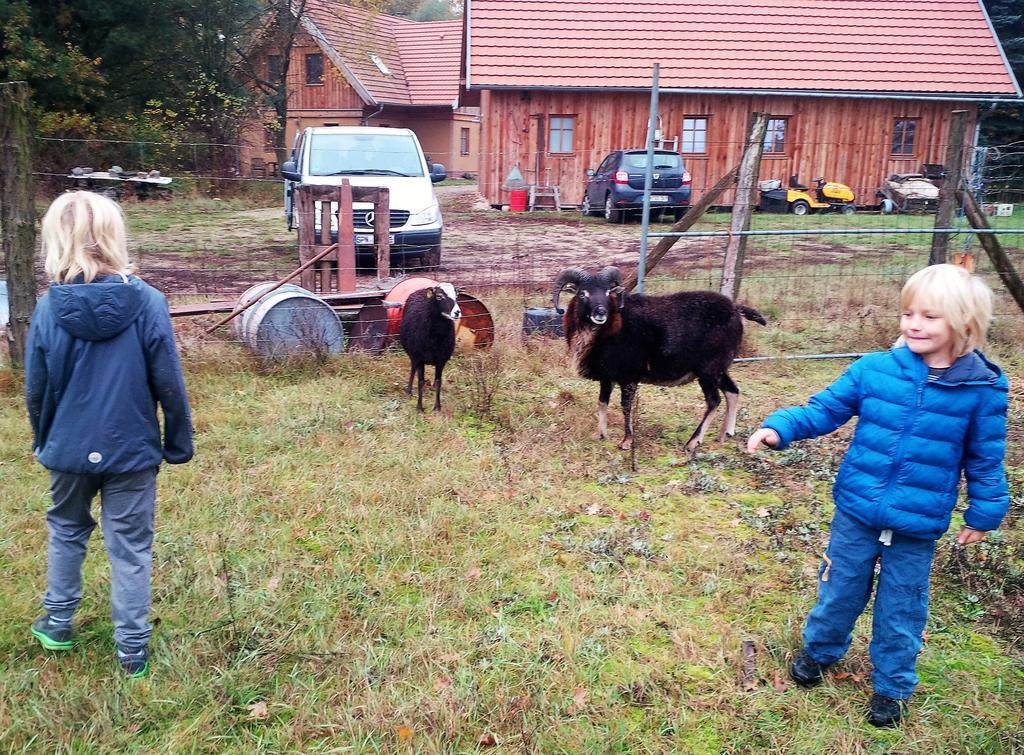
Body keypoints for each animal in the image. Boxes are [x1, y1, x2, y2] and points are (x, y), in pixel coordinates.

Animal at [552, 266, 770, 446]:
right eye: (583, 293)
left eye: (608, 292)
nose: (600, 313)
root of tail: (735, 309)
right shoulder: (607, 378)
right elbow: (602, 403)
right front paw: (600, 435)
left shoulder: (628, 377)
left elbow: (626, 406)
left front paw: (626, 442)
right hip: (719, 369)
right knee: (732, 391)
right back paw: (725, 434)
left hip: (709, 370)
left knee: (714, 400)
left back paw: (692, 443)